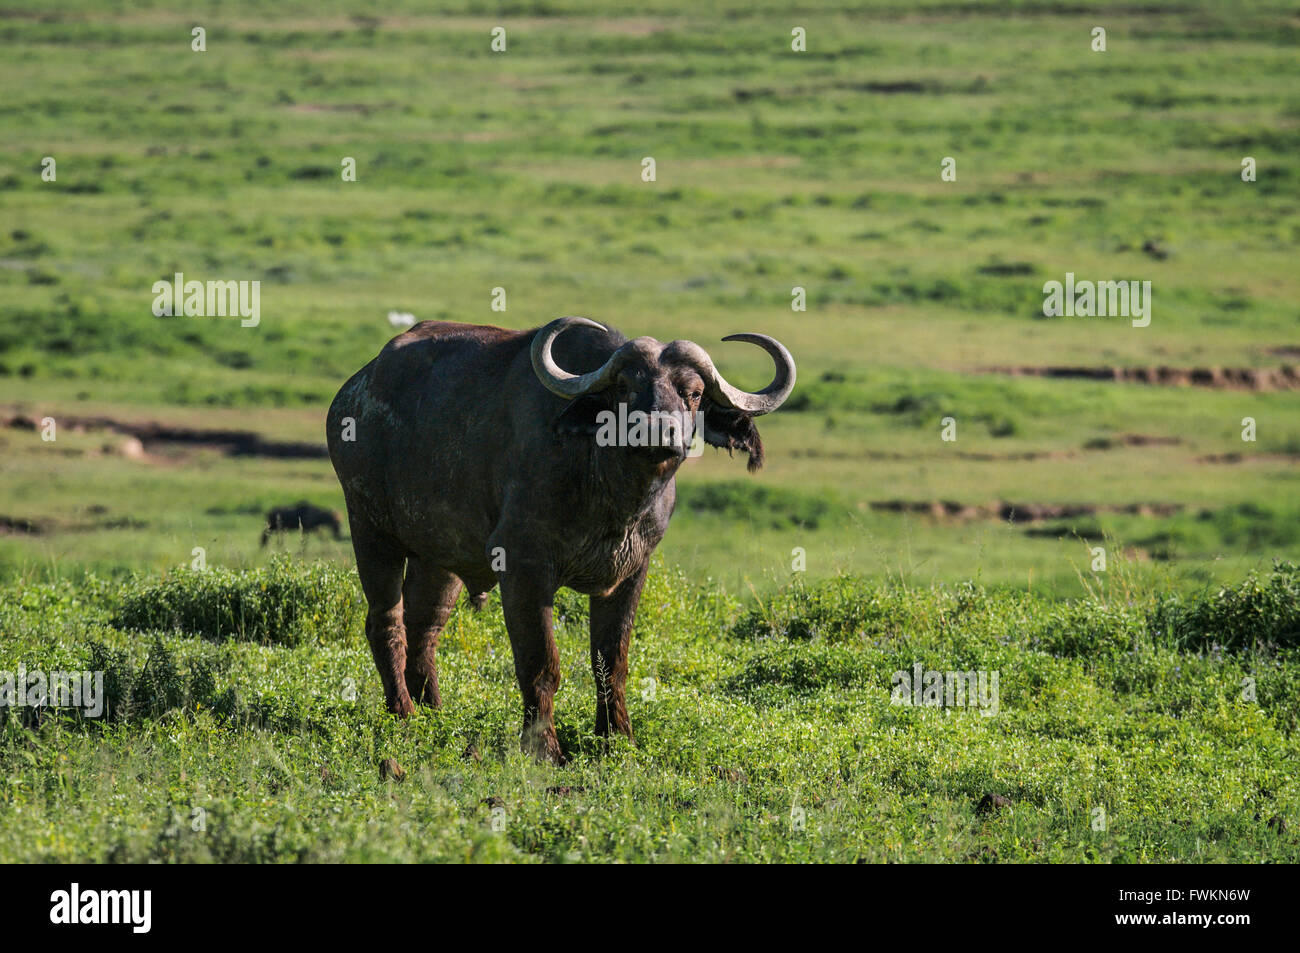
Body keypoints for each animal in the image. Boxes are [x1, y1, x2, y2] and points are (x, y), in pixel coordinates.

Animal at [327, 315, 790, 764]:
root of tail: (353, 391)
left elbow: (612, 662)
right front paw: (544, 748)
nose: (658, 433)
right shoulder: (524, 568)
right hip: (370, 529)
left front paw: (617, 740)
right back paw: (403, 715)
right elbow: (540, 663)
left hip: (438, 558)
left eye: (692, 393)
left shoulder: (631, 573)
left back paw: (435, 715)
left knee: (423, 627)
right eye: (625, 388)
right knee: (385, 622)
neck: (610, 494)